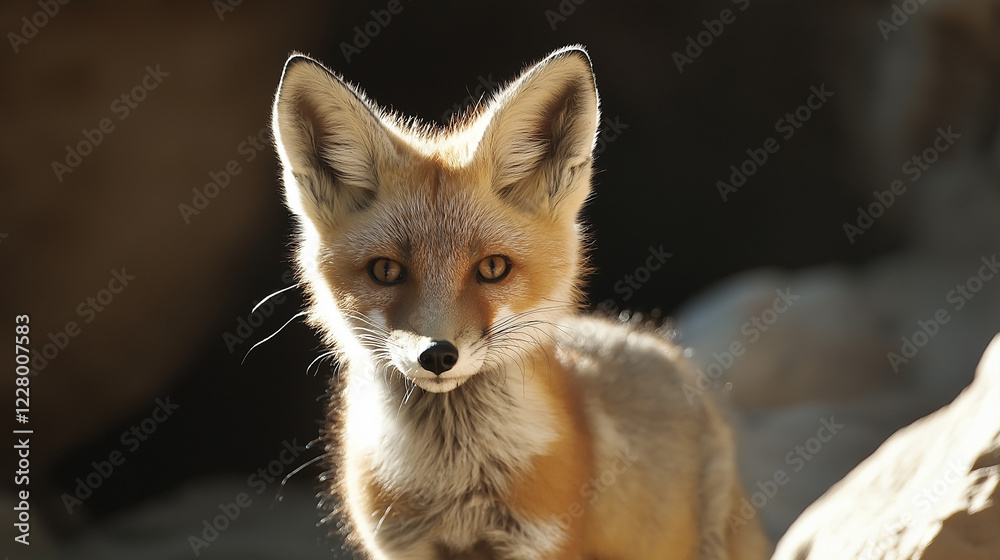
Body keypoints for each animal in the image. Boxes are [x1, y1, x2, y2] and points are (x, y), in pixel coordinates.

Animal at [271, 45, 770, 560]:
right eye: (385, 271)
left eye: (493, 268)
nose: (437, 355)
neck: (456, 483)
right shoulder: (401, 544)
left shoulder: (542, 539)